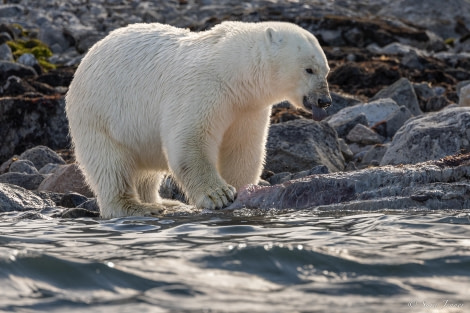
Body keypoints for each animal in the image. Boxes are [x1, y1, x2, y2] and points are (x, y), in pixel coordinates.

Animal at [65, 21, 330, 217]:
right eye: (309, 69)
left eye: (326, 71)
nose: (324, 100)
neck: (234, 73)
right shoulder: (202, 89)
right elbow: (190, 141)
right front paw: (219, 195)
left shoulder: (247, 108)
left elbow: (242, 148)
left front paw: (244, 190)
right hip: (98, 116)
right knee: (111, 166)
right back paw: (138, 207)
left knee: (146, 173)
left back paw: (167, 203)